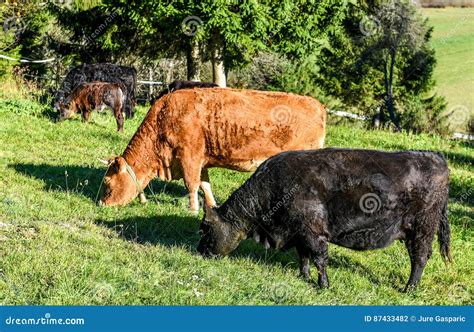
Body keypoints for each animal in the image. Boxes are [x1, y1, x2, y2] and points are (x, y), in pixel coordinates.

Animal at [197, 148, 452, 290]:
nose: (198, 251)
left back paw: (409, 288)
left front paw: (324, 286)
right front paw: (303, 275)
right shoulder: (299, 233)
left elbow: (320, 259)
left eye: (205, 228)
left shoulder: (314, 232)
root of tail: (436, 157)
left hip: (422, 229)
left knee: (420, 257)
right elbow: (303, 257)